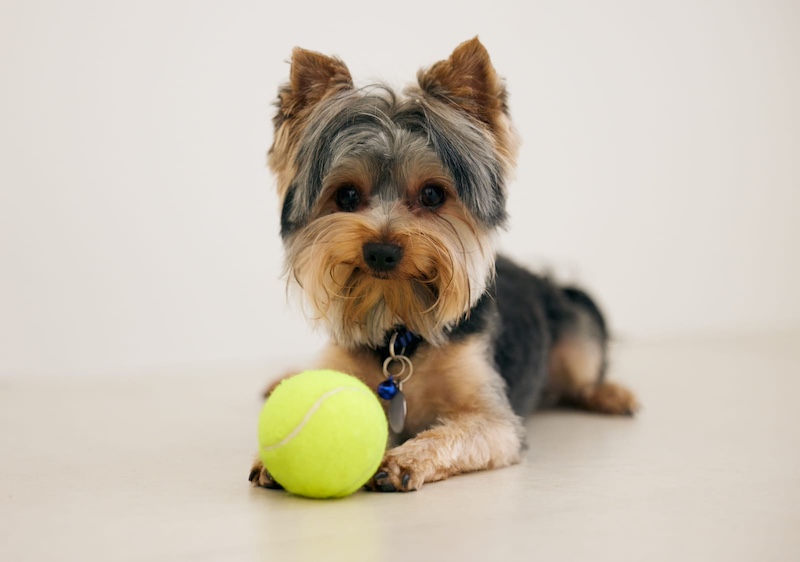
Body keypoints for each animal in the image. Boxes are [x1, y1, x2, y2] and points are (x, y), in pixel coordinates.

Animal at [250, 37, 636, 490]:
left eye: (433, 195)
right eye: (346, 196)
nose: (381, 251)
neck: (400, 333)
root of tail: (547, 281)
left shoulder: (494, 420)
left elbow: (451, 434)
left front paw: (403, 460)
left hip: (576, 336)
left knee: (586, 371)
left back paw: (612, 395)